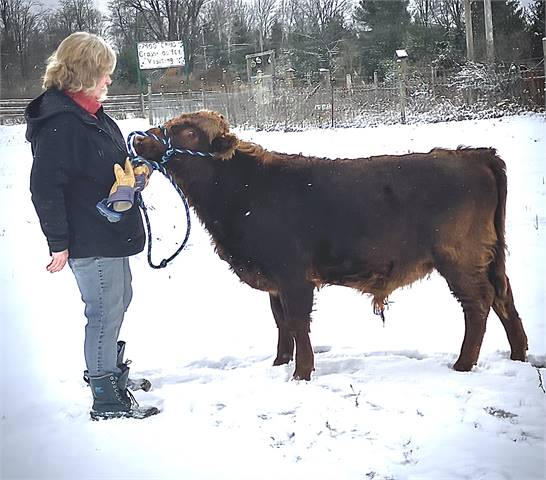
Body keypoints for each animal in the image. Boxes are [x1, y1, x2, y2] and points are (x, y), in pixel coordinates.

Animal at [131, 110, 524, 380]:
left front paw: (301, 374)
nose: (139, 139)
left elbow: (297, 322)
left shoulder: (293, 276)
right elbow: (281, 323)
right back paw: (519, 354)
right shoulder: (275, 281)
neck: (245, 189)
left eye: (189, 131)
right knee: (503, 296)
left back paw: (463, 364)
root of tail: (473, 154)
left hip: (459, 258)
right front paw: (279, 363)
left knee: (479, 303)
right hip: (487, 258)